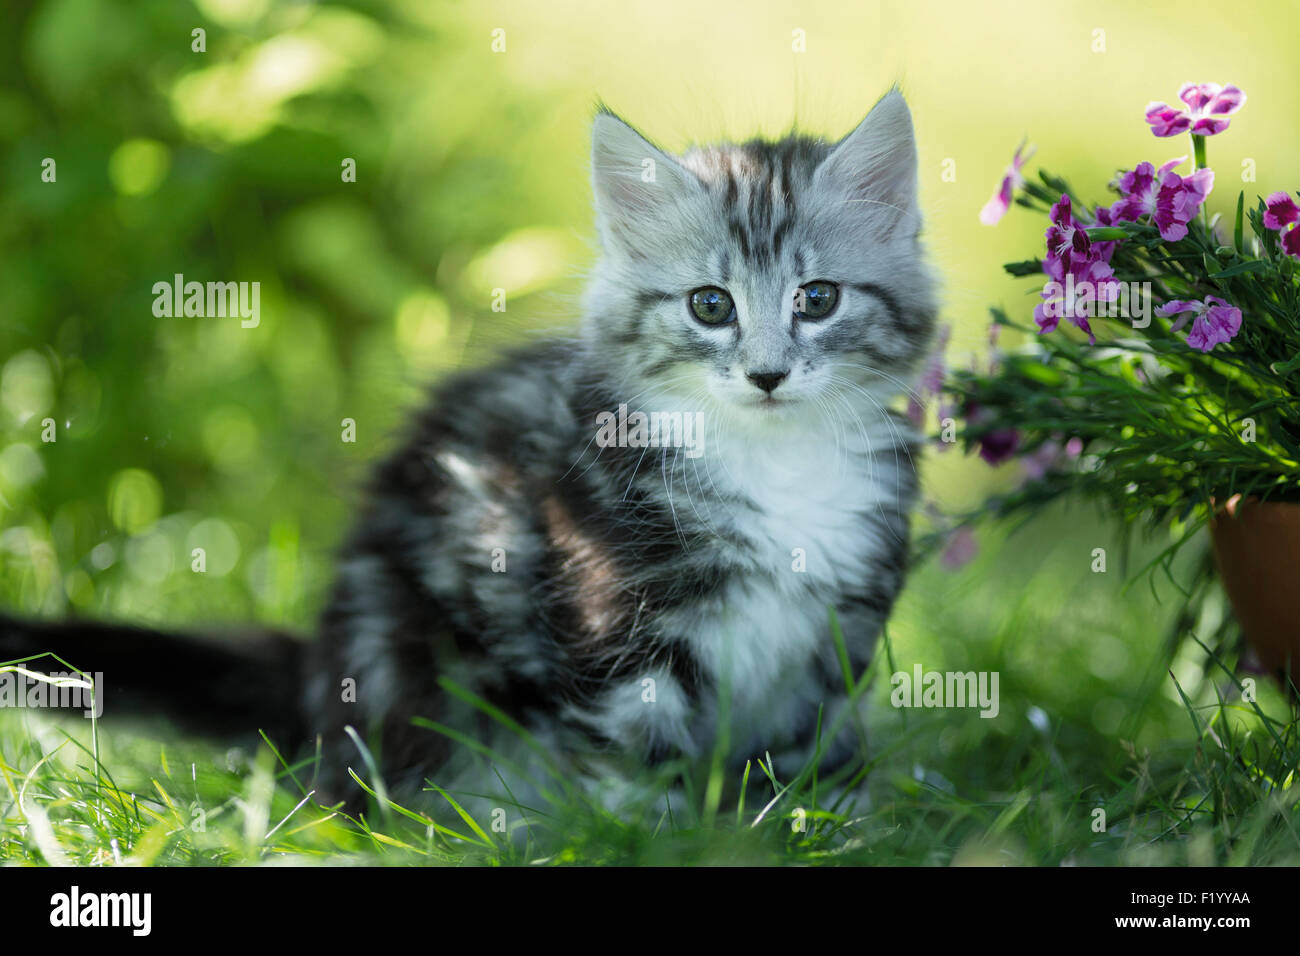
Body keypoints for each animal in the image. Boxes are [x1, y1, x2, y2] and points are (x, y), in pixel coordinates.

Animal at [0, 91, 935, 816]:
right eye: (711, 305)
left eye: (817, 299)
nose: (767, 374)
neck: (775, 464)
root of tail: (317, 672)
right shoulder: (612, 632)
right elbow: (636, 767)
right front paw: (662, 838)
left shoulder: (837, 638)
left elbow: (816, 758)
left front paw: (830, 826)